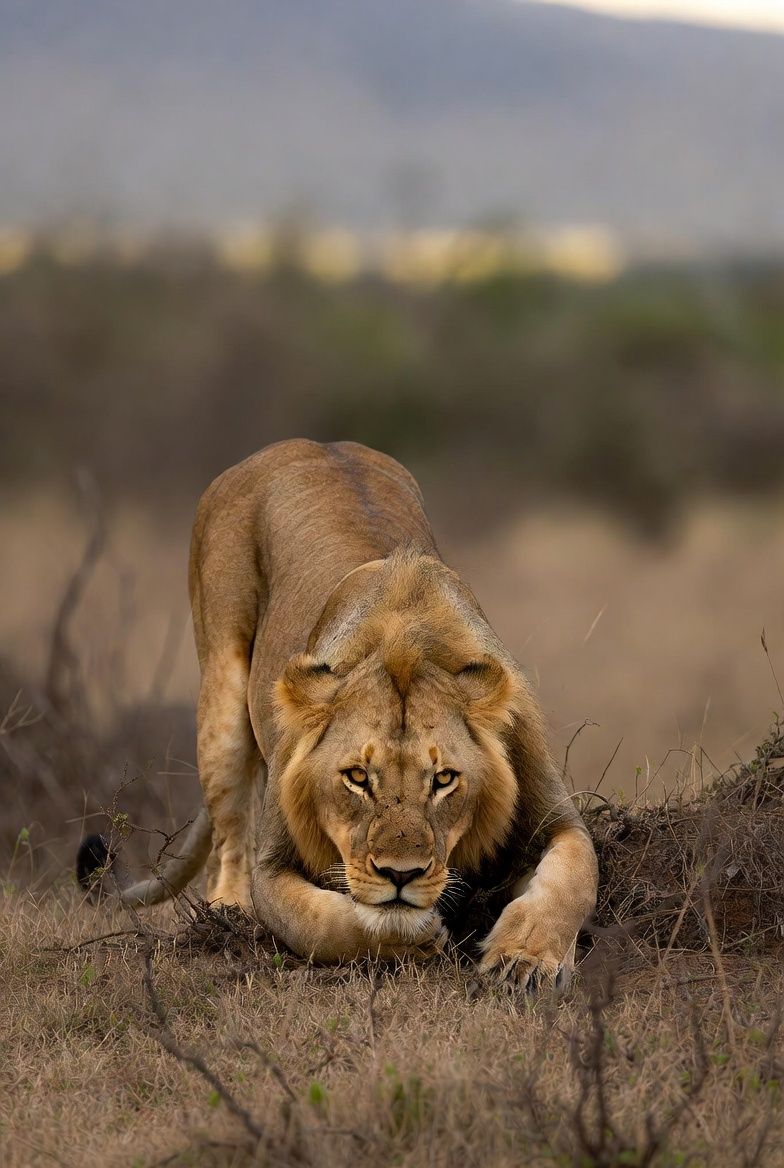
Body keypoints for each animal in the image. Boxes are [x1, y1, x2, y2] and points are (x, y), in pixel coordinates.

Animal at [79, 439, 598, 988]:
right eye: (356, 777)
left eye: (444, 779)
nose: (400, 874)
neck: (404, 638)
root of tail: (295, 445)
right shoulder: (274, 864)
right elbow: (323, 924)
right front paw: (408, 934)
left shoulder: (556, 820)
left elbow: (572, 877)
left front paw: (525, 960)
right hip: (221, 701)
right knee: (229, 841)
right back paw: (228, 914)